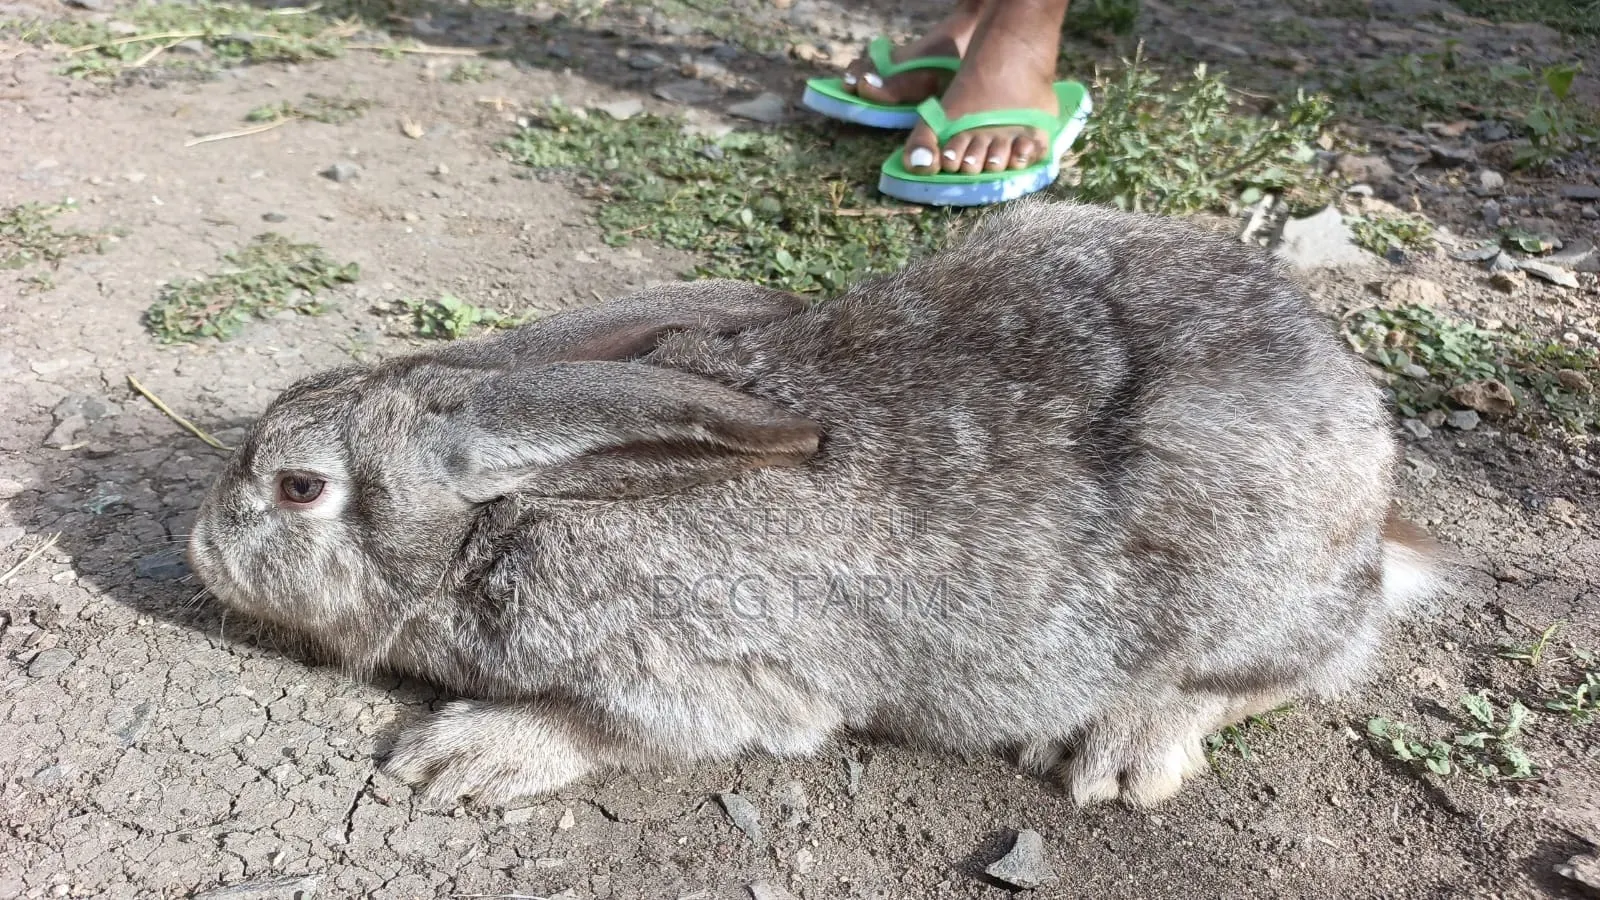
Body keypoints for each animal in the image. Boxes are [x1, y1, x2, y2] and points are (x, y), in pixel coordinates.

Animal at [187, 199, 1438, 809]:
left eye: (299, 487)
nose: (199, 550)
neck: (499, 516)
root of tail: (1373, 501)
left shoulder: (702, 680)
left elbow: (613, 728)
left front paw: (458, 758)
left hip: (1245, 579)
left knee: (1289, 670)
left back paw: (1124, 752)